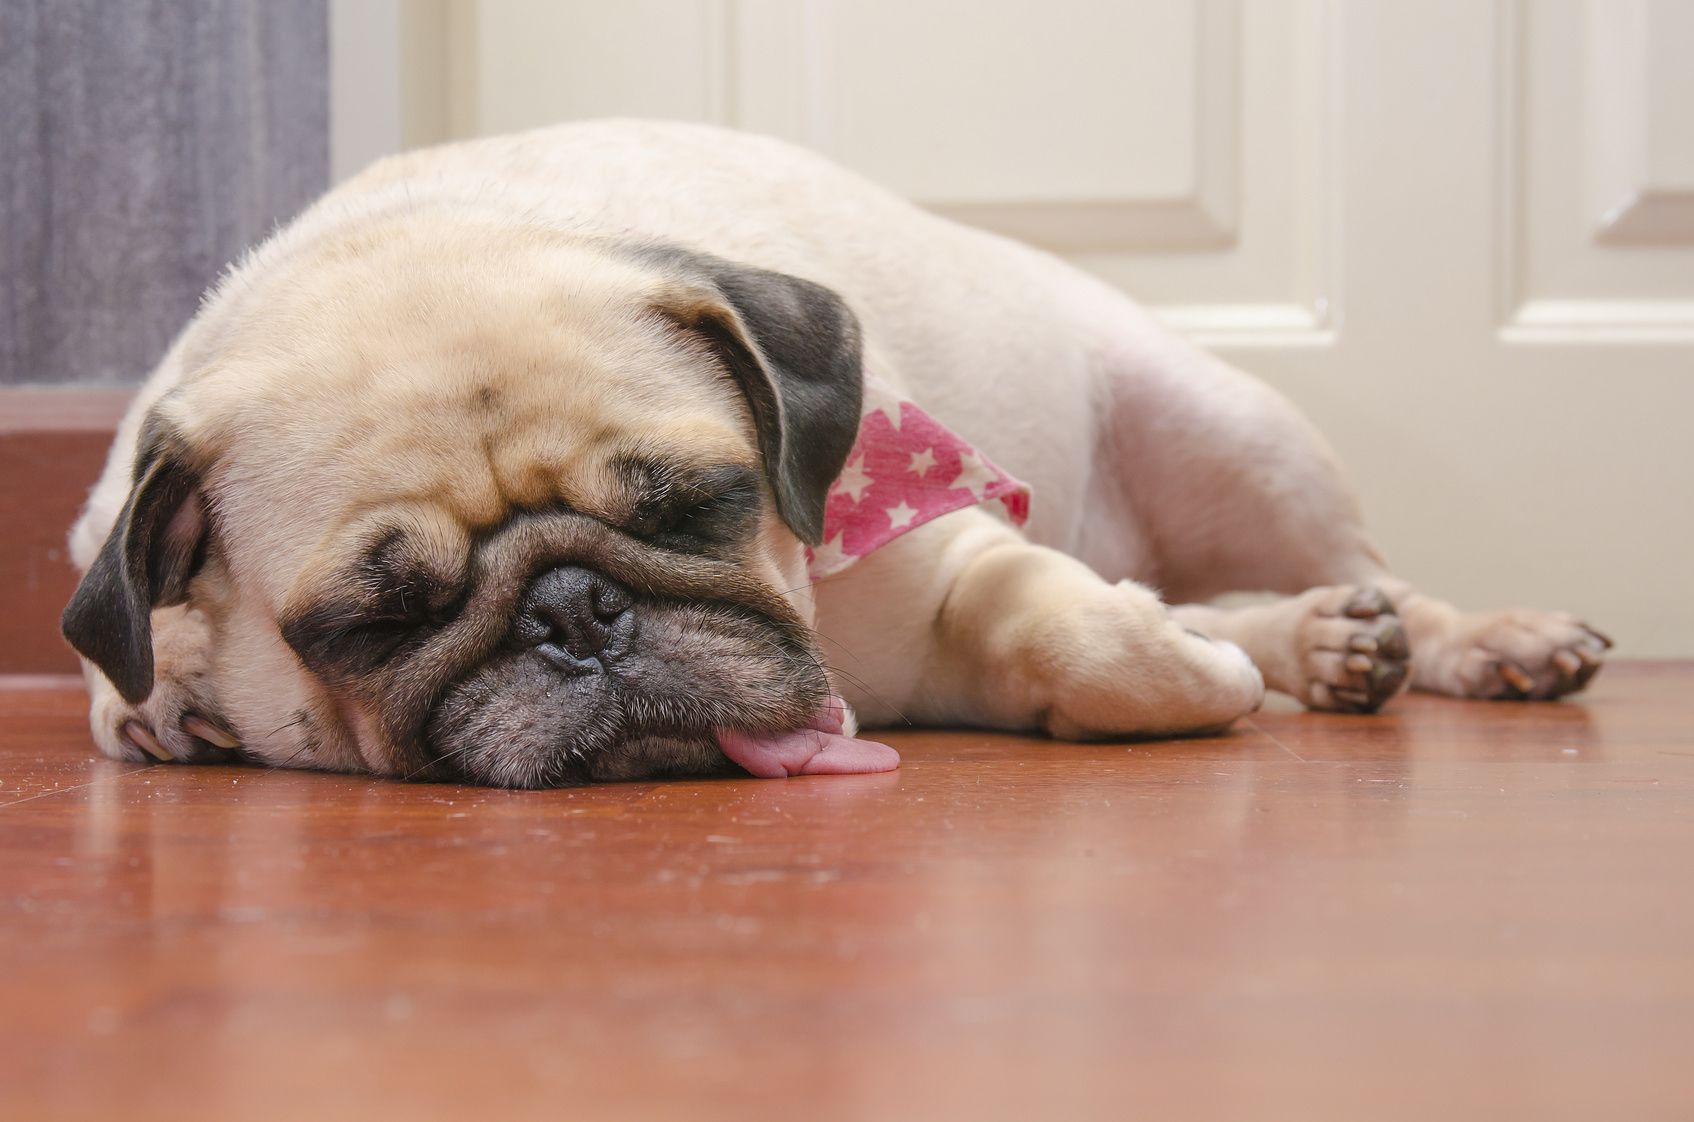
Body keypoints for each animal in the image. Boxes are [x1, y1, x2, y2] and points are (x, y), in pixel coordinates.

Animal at [59, 118, 1605, 786]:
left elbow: (1082, 632)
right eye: (374, 622)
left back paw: (1465, 640)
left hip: (1234, 439)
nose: (577, 614)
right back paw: (1322, 644)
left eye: (701, 505)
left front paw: (1190, 671)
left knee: (1373, 575)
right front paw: (168, 698)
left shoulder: (957, 544)